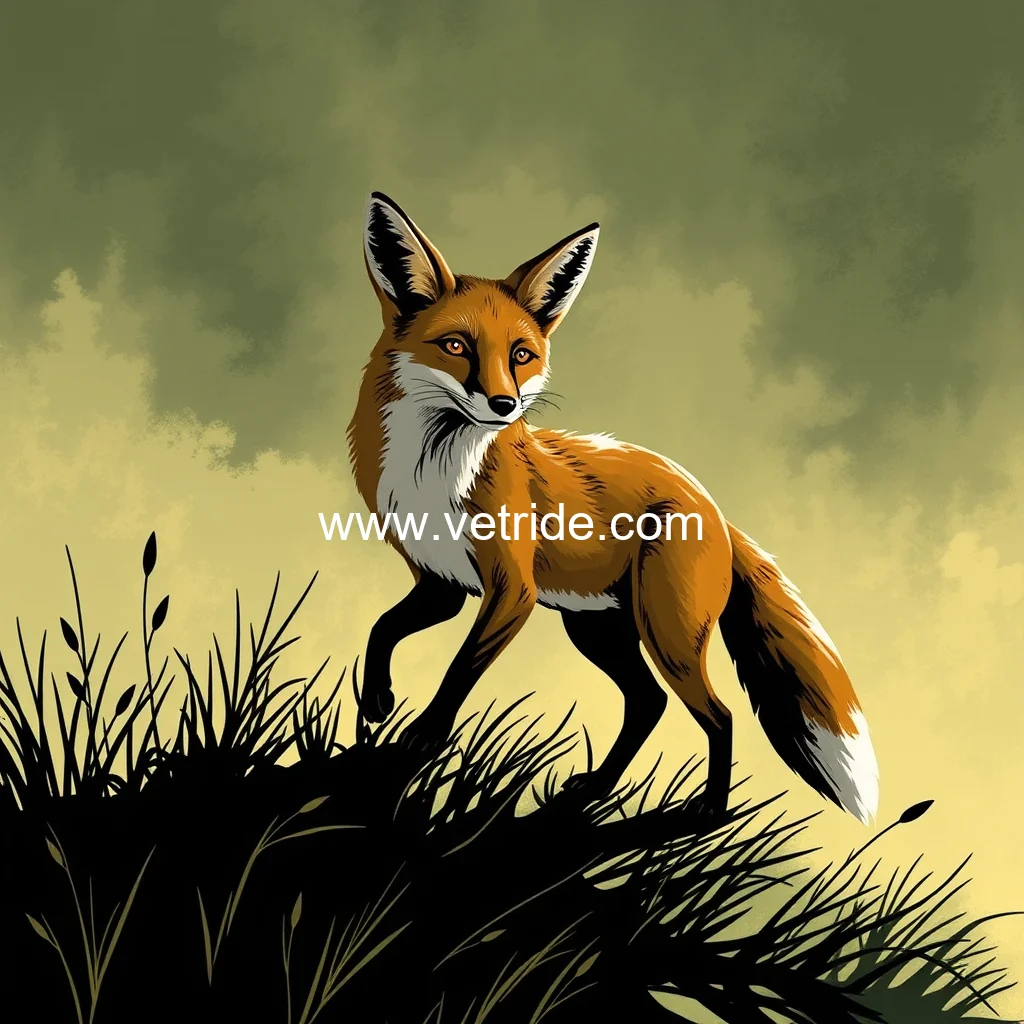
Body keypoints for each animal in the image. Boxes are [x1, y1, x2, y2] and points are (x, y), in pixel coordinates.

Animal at [347, 191, 879, 826]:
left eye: (521, 355)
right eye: (456, 346)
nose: (503, 405)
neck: (434, 471)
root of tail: (715, 508)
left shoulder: (512, 591)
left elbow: (458, 670)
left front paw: (423, 738)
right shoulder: (441, 584)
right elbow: (382, 627)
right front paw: (378, 699)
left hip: (666, 635)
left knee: (718, 714)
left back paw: (707, 815)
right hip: (597, 629)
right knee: (648, 704)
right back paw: (595, 790)